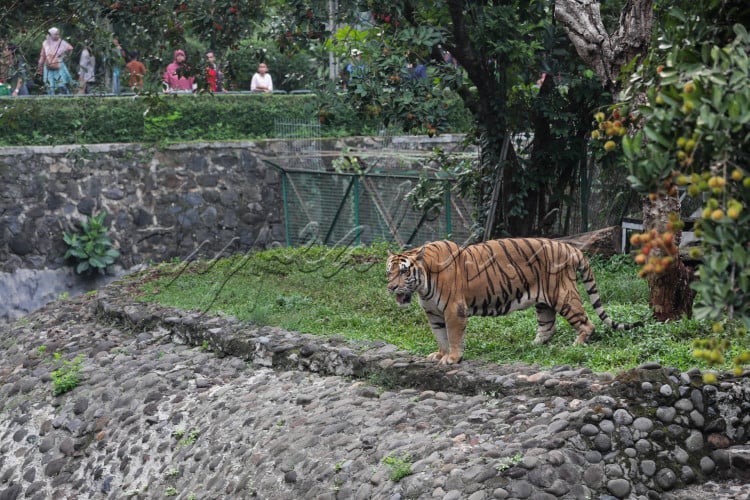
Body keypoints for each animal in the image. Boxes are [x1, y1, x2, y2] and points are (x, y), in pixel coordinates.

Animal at [388, 237, 648, 364]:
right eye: (389, 272)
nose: (391, 287)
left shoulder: (454, 310)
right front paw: (440, 355)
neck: (422, 286)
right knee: (548, 327)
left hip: (562, 294)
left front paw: (452, 358)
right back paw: (531, 345)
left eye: (404, 272)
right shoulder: (433, 314)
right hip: (544, 303)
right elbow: (440, 336)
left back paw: (575, 345)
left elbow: (453, 336)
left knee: (587, 323)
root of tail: (571, 248)